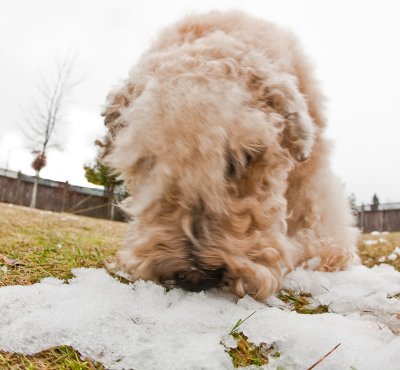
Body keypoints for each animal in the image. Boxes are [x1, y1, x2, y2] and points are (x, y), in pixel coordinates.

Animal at [100, 10, 360, 300]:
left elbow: (316, 209)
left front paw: (323, 254)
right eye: (151, 159)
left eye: (241, 158)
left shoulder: (311, 168)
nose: (195, 277)